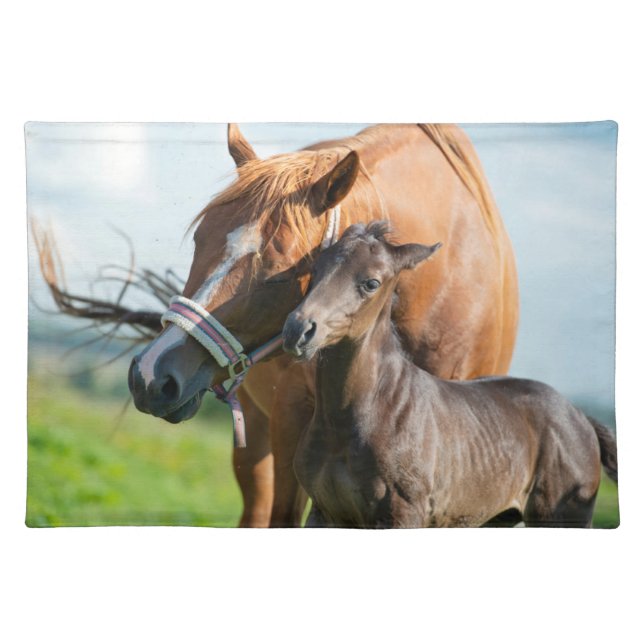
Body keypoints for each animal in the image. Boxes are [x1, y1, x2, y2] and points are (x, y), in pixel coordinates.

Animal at [282, 222, 617, 528]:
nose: (298, 331)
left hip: (561, 517)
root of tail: (581, 417)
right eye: (316, 269)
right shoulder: (325, 514)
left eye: (371, 283)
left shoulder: (403, 514)